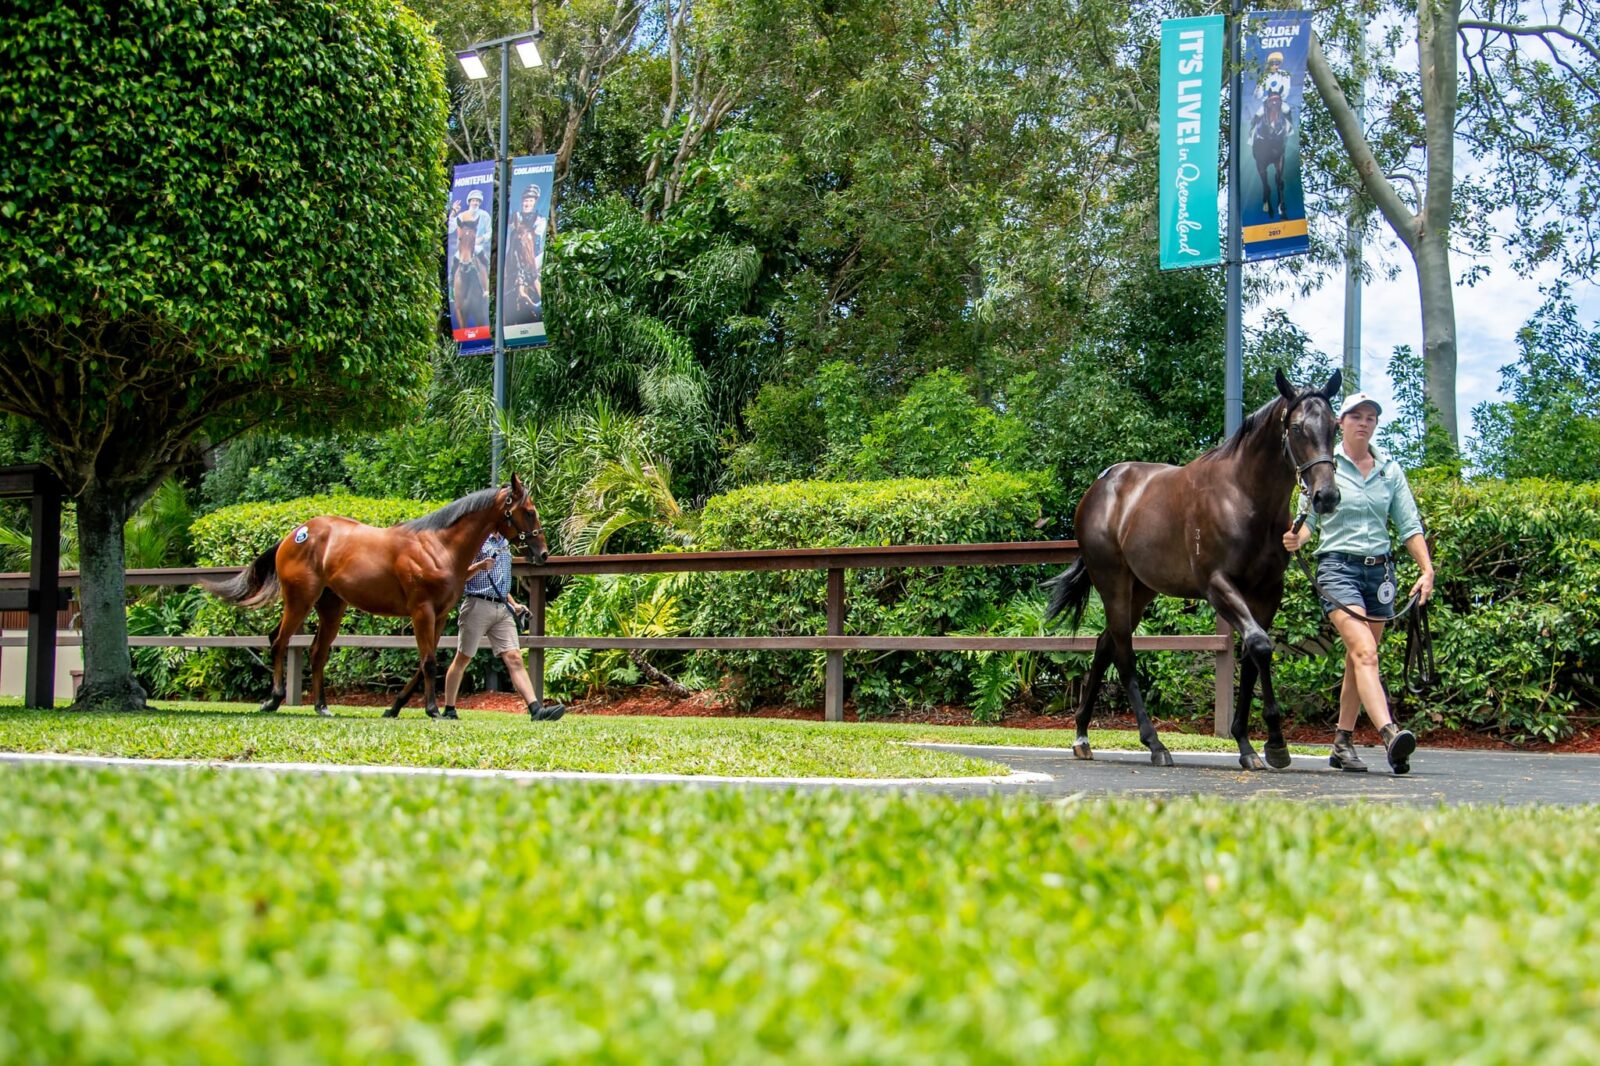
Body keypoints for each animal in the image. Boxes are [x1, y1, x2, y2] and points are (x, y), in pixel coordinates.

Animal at [202, 475, 551, 719]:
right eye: (529, 512)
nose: (543, 553)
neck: (438, 547)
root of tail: (294, 534)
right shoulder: (421, 612)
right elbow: (428, 662)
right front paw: (433, 710)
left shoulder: (438, 616)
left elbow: (424, 663)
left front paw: (395, 707)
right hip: (299, 600)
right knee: (279, 640)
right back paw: (273, 700)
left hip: (331, 607)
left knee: (317, 652)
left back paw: (321, 707)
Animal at [1044, 370, 1343, 769]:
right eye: (1296, 428)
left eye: (1335, 426)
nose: (1327, 497)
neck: (1244, 497)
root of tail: (1100, 486)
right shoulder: (1218, 586)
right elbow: (1260, 646)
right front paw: (1275, 744)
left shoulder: (1267, 591)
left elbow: (1252, 657)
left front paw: (1250, 745)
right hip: (1113, 583)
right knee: (1123, 654)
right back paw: (1155, 745)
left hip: (1142, 589)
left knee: (1104, 644)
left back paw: (1082, 736)